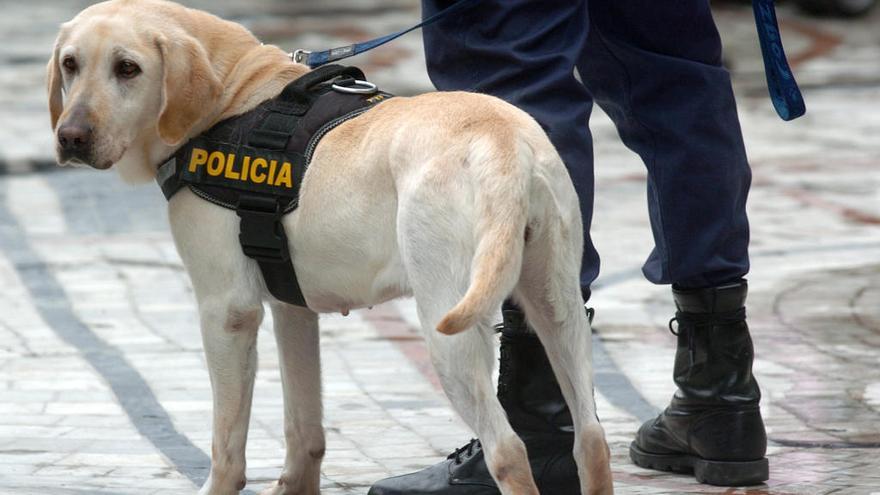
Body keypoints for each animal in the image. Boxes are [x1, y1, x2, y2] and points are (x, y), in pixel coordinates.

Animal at [46, 0, 612, 495]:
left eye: (128, 68)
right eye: (71, 64)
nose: (70, 137)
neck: (234, 94)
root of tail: (502, 142)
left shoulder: (227, 311)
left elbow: (227, 444)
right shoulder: (291, 308)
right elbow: (304, 427)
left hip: (448, 330)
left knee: (509, 452)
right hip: (557, 306)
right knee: (591, 438)